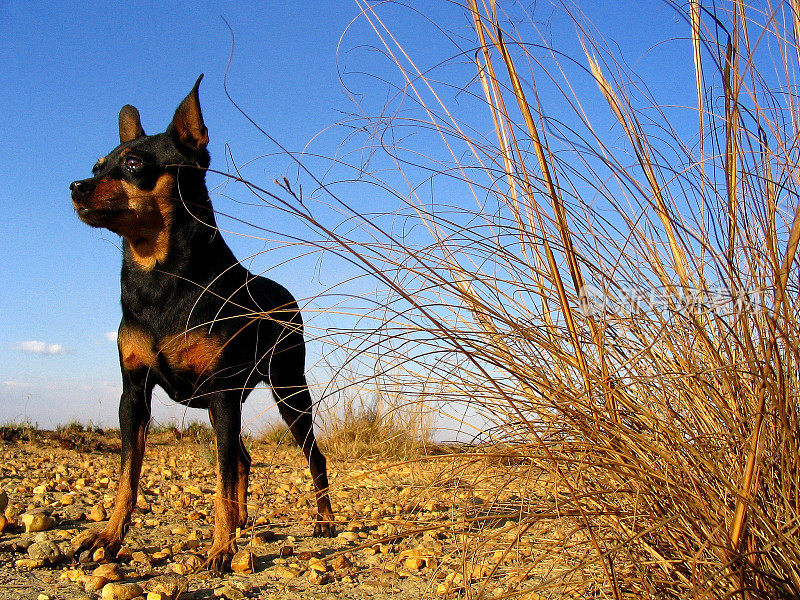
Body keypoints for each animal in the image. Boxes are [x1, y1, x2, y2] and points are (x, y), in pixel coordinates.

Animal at [67, 75, 332, 572]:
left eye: (134, 164)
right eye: (96, 165)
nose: (75, 185)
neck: (158, 279)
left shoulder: (222, 393)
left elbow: (220, 478)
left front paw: (221, 549)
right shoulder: (134, 394)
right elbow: (128, 475)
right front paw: (108, 538)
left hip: (289, 390)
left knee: (312, 456)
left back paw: (324, 521)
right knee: (243, 458)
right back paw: (244, 520)